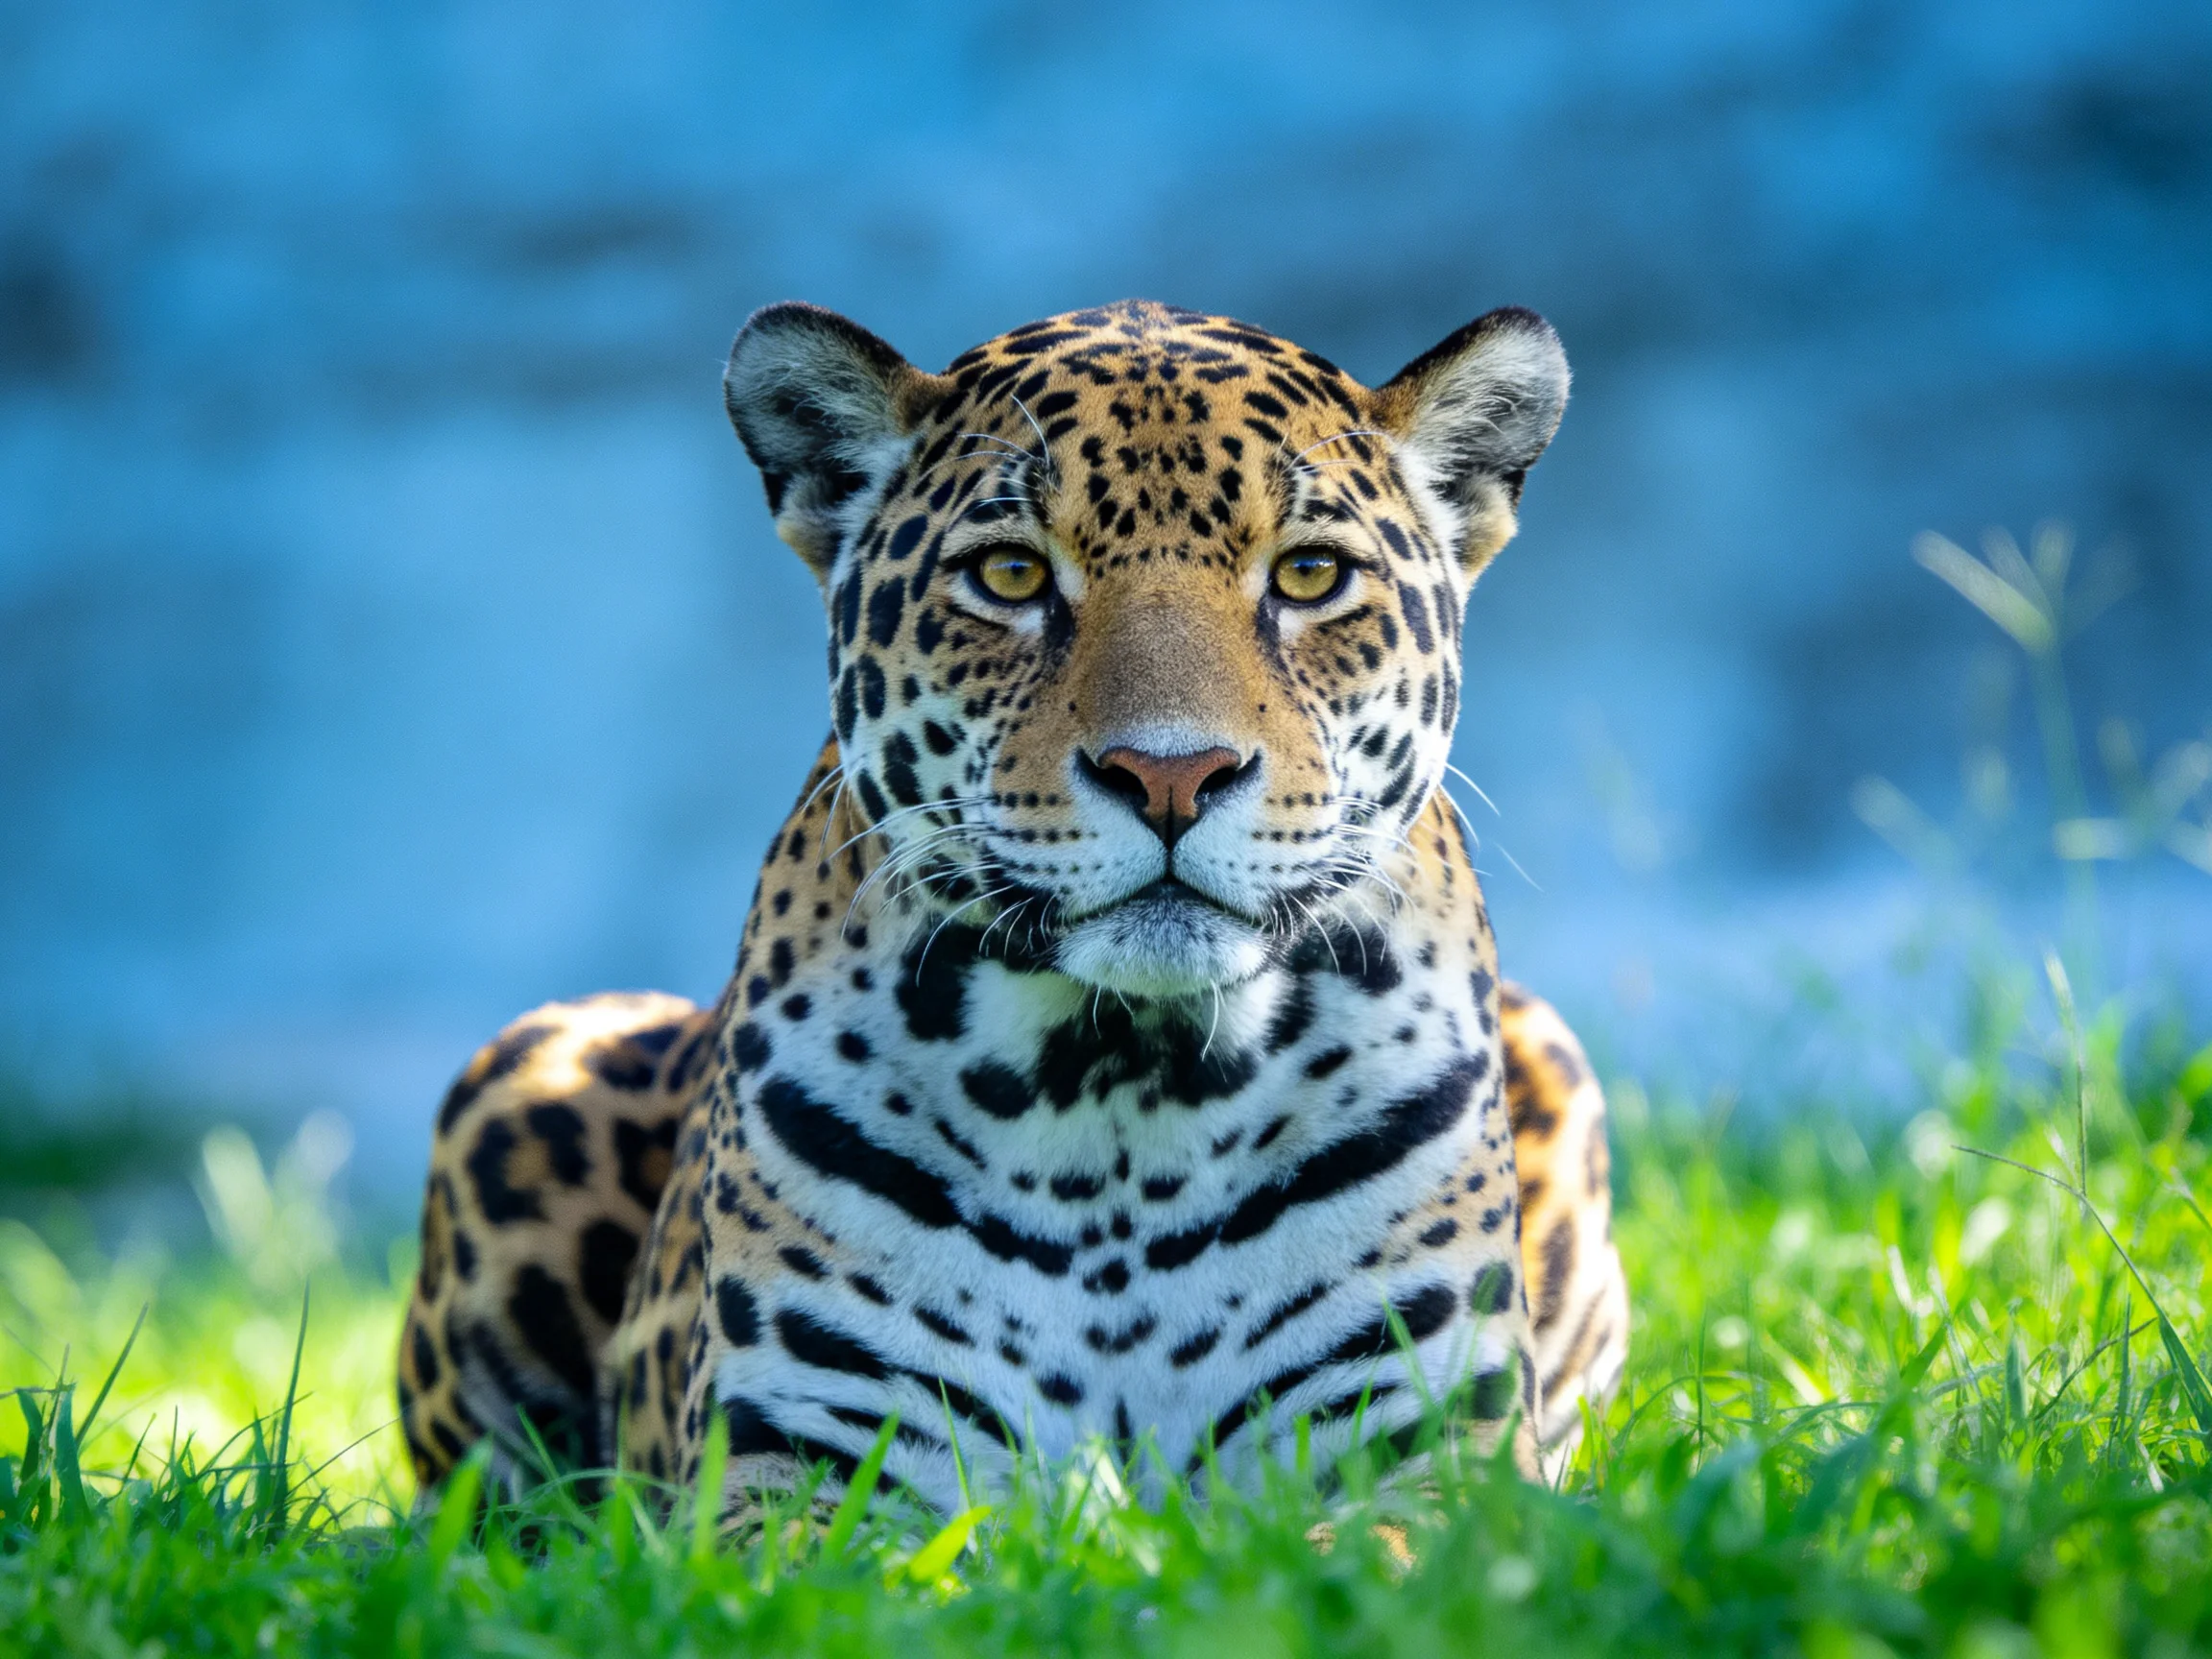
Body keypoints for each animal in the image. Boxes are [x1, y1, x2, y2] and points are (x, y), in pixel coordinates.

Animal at [396, 298, 1630, 1519]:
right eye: (1010, 576)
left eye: (1313, 574)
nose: (1171, 774)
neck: (1130, 1093)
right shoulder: (800, 1460)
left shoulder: (1430, 1448)